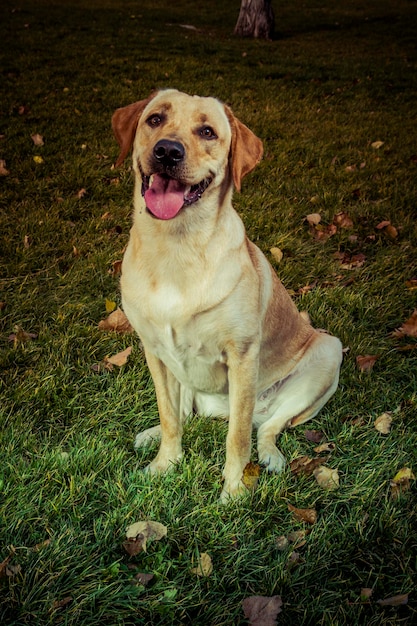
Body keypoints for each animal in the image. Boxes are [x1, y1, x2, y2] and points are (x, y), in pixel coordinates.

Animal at [111, 88, 342, 500]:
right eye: (155, 119)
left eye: (207, 131)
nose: (167, 151)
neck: (175, 248)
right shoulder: (154, 350)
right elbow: (169, 417)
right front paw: (165, 464)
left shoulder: (242, 355)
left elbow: (237, 437)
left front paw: (234, 492)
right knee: (185, 413)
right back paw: (151, 435)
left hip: (328, 353)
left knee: (266, 427)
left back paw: (271, 457)